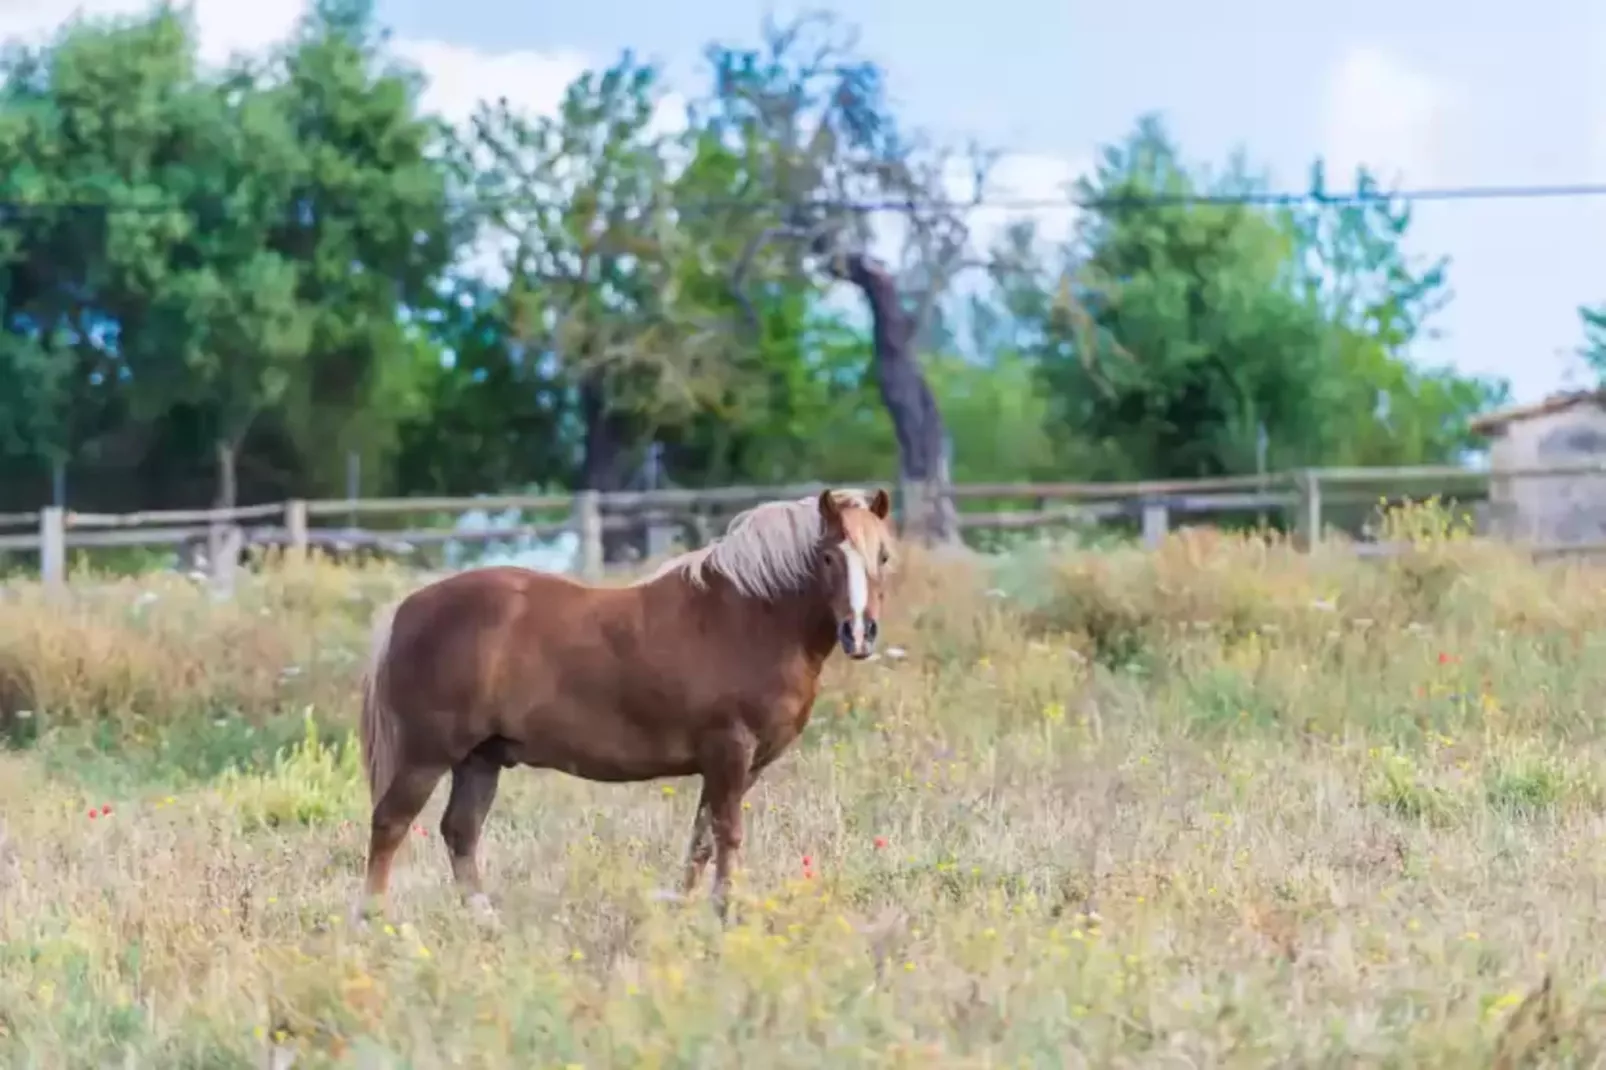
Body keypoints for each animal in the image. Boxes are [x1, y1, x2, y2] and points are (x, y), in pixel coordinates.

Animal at [351, 481, 899, 918]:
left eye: (883, 556)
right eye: (828, 556)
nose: (859, 633)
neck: (750, 615)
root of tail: (408, 609)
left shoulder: (740, 766)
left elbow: (701, 839)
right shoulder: (729, 751)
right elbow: (727, 834)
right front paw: (725, 911)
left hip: (480, 758)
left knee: (460, 831)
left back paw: (483, 919)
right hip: (427, 756)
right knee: (390, 824)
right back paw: (373, 919)